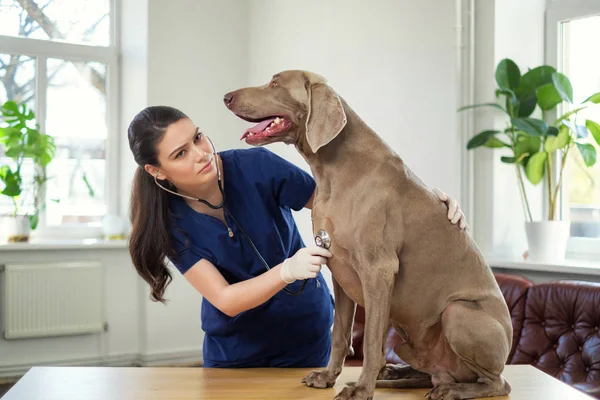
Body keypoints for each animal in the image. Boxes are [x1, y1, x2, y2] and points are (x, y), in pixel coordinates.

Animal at [223, 70, 512, 398]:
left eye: (275, 83)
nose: (226, 97)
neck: (335, 170)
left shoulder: (378, 270)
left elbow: (373, 341)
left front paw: (361, 389)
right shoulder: (338, 269)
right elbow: (339, 333)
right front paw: (328, 377)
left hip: (459, 313)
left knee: (495, 382)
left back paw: (451, 390)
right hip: (408, 341)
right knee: (433, 373)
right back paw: (396, 375)